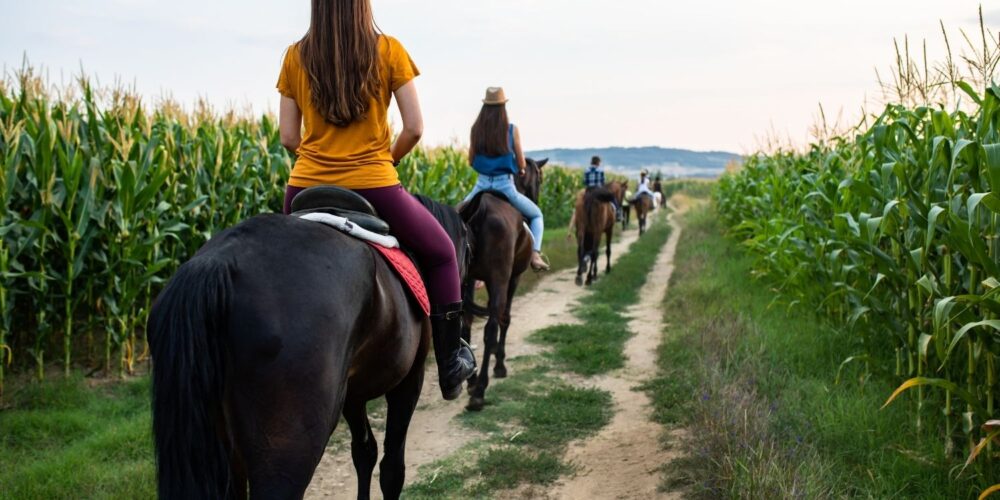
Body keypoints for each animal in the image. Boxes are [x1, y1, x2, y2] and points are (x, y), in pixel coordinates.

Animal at [148, 195, 468, 500]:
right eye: (467, 241)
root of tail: (219, 264)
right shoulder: (409, 379)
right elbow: (392, 469)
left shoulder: (352, 393)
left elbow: (364, 452)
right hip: (287, 445)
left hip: (221, 447)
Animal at [460, 157, 548, 410]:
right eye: (540, 178)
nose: (537, 198)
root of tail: (480, 209)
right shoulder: (511, 277)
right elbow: (504, 318)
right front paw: (499, 362)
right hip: (501, 278)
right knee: (490, 327)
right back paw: (480, 390)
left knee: (466, 323)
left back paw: (471, 381)